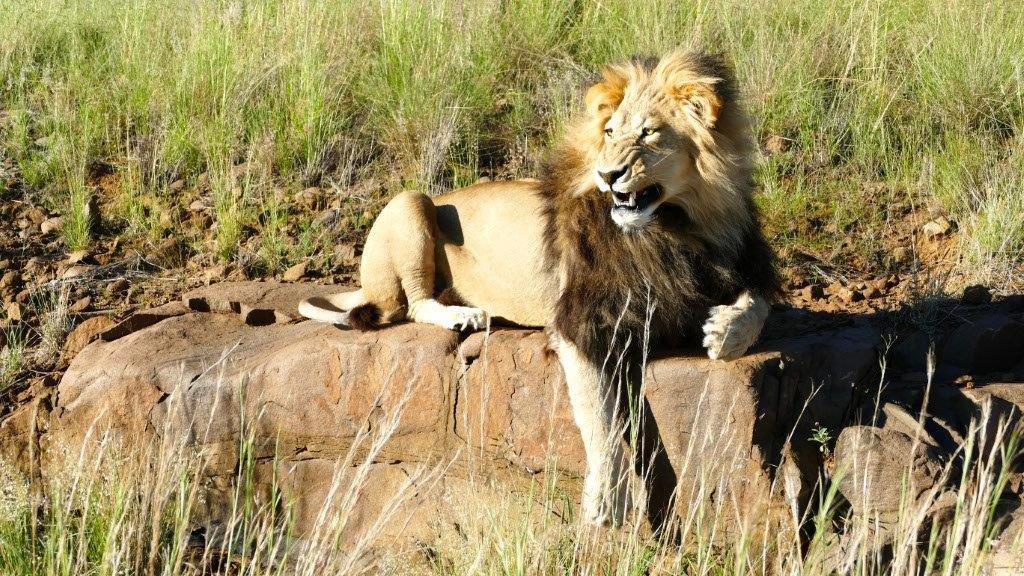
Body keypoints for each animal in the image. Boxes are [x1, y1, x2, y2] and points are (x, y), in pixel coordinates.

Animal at [299, 49, 781, 528]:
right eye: (610, 132)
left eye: (648, 133)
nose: (608, 174)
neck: (679, 227)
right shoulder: (579, 323)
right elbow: (600, 417)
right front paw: (606, 500)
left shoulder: (730, 268)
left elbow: (759, 305)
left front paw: (725, 332)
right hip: (410, 201)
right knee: (410, 305)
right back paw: (464, 314)